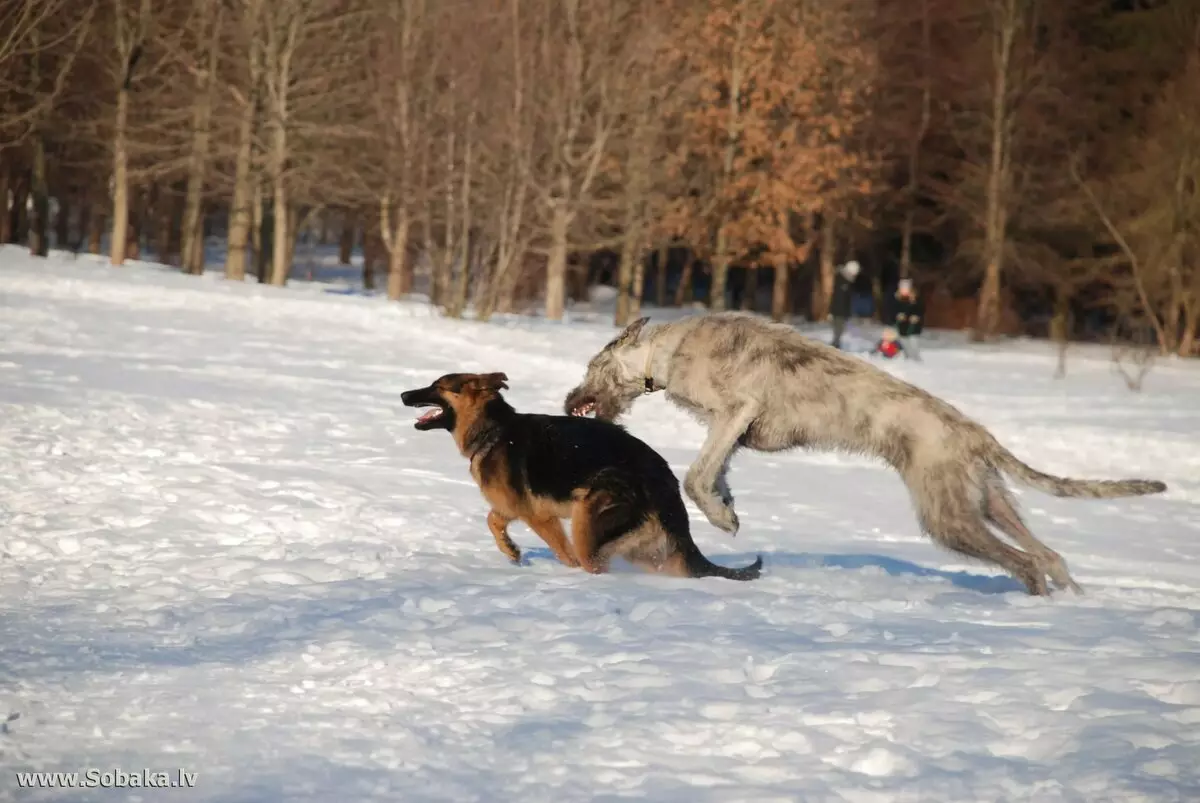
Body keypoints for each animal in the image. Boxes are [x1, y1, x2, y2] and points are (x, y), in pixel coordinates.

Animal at [400, 372, 758, 578]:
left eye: (437, 387)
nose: (403, 395)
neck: (493, 429)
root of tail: (665, 484)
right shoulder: (511, 507)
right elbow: (493, 520)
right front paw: (512, 550)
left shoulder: (540, 517)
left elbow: (562, 552)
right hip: (644, 548)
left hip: (587, 522)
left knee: (589, 562)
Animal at [566, 312, 1166, 595]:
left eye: (592, 366)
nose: (570, 401)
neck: (664, 353)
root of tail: (975, 434)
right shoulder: (732, 428)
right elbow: (718, 467)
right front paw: (728, 503)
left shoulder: (736, 408)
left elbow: (697, 474)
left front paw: (721, 516)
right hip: (986, 499)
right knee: (1048, 553)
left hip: (947, 515)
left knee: (1027, 562)